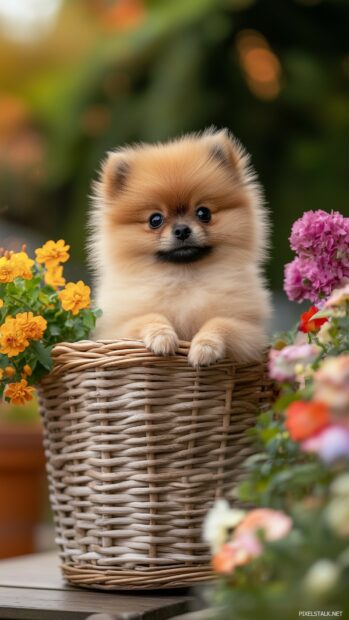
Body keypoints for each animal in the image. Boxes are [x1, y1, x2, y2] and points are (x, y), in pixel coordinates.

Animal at [89, 128, 270, 366]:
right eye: (155, 220)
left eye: (203, 213)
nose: (182, 230)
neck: (184, 277)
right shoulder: (115, 329)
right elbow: (148, 318)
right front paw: (162, 337)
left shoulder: (249, 330)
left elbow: (220, 323)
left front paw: (204, 347)